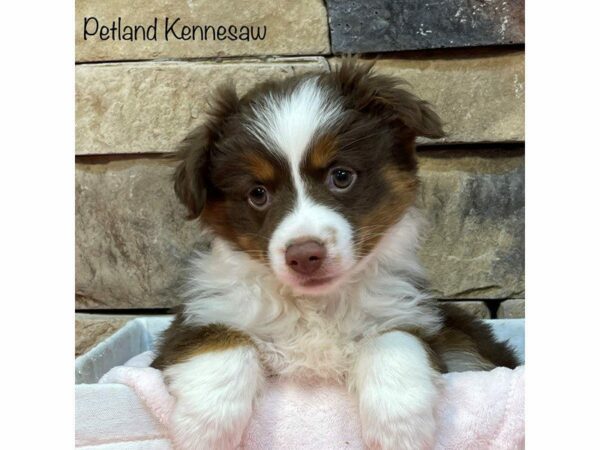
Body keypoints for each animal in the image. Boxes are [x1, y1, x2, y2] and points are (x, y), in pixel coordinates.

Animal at [151, 59, 520, 450]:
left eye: (341, 176)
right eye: (257, 193)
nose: (304, 255)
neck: (316, 306)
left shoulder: (411, 315)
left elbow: (393, 341)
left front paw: (399, 429)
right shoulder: (196, 318)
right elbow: (219, 341)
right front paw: (204, 427)